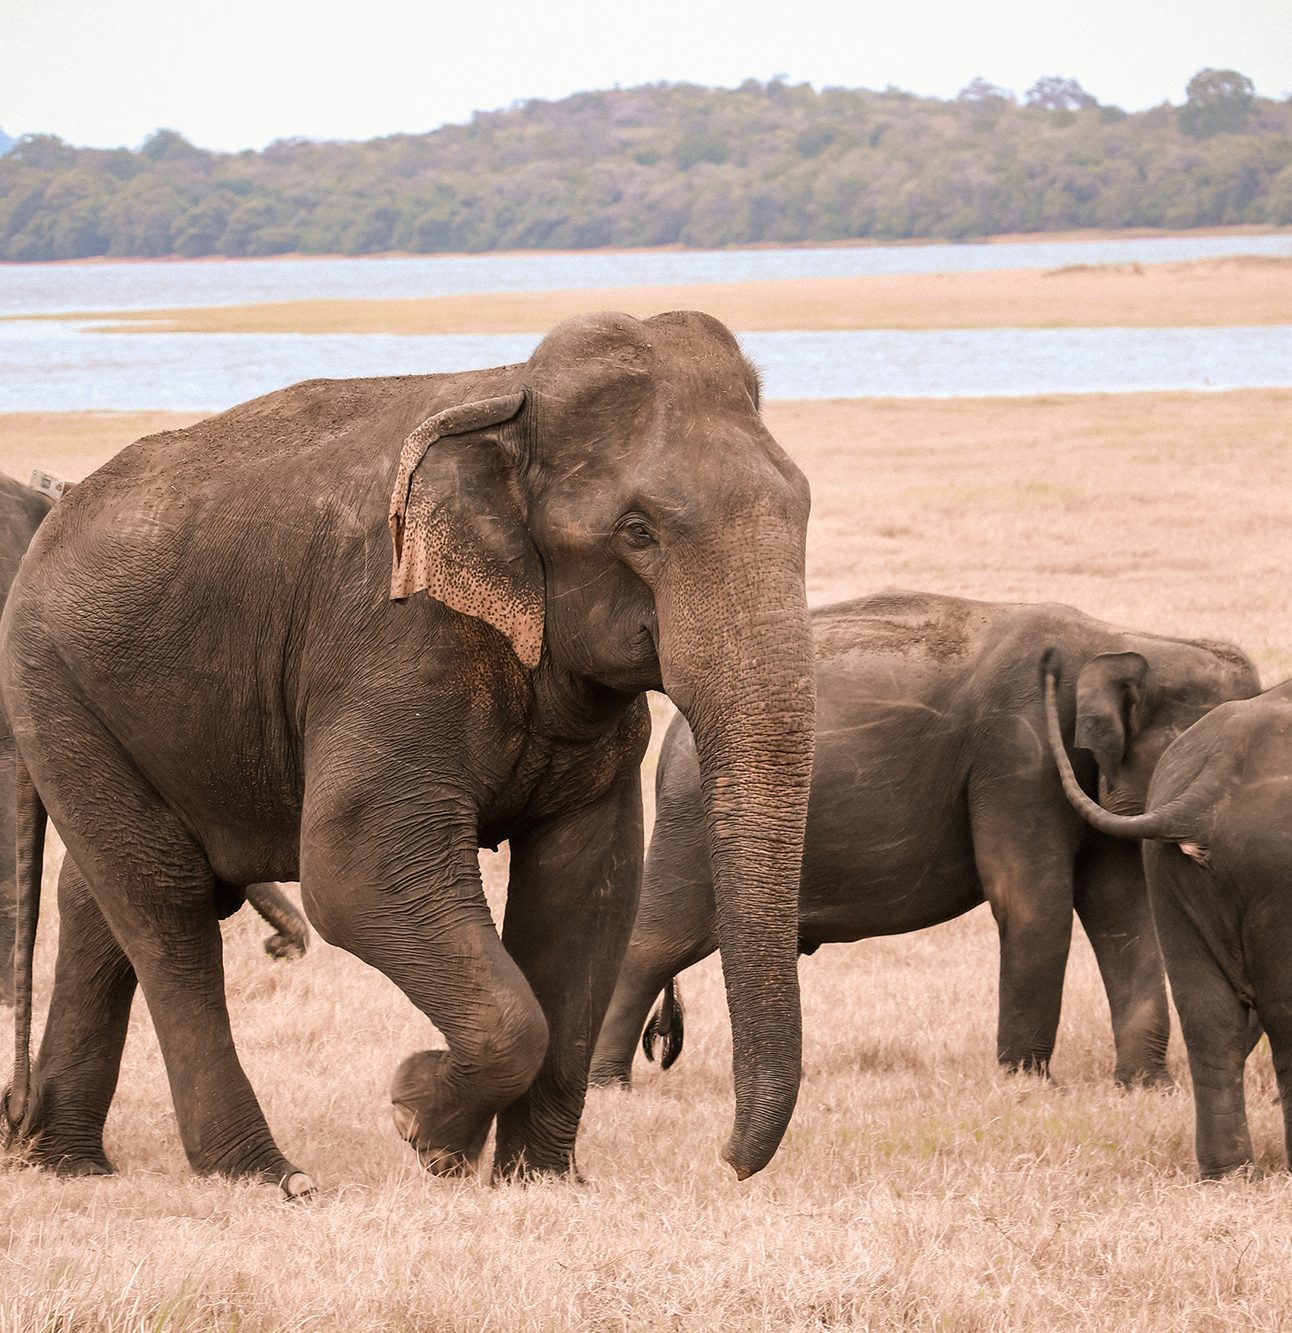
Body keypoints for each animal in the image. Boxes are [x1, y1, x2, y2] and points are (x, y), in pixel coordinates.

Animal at [589, 594, 1253, 1093]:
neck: (1130, 638)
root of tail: (673, 736)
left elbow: (1123, 913)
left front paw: (1146, 1088)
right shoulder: (1017, 754)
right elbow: (1030, 901)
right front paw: (1027, 1086)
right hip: (693, 823)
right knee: (655, 942)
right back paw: (606, 1086)